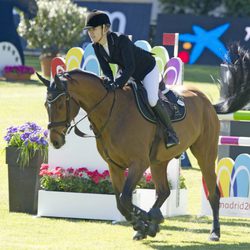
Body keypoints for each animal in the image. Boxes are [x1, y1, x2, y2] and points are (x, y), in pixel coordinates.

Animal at [36, 44, 250, 241]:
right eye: (46, 104)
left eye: (60, 104)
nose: (55, 141)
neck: (113, 112)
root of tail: (205, 101)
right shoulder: (114, 166)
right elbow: (120, 202)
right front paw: (144, 223)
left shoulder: (138, 163)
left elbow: (125, 198)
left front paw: (143, 220)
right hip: (159, 161)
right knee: (163, 191)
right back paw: (153, 222)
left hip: (204, 154)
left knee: (213, 192)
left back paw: (214, 232)